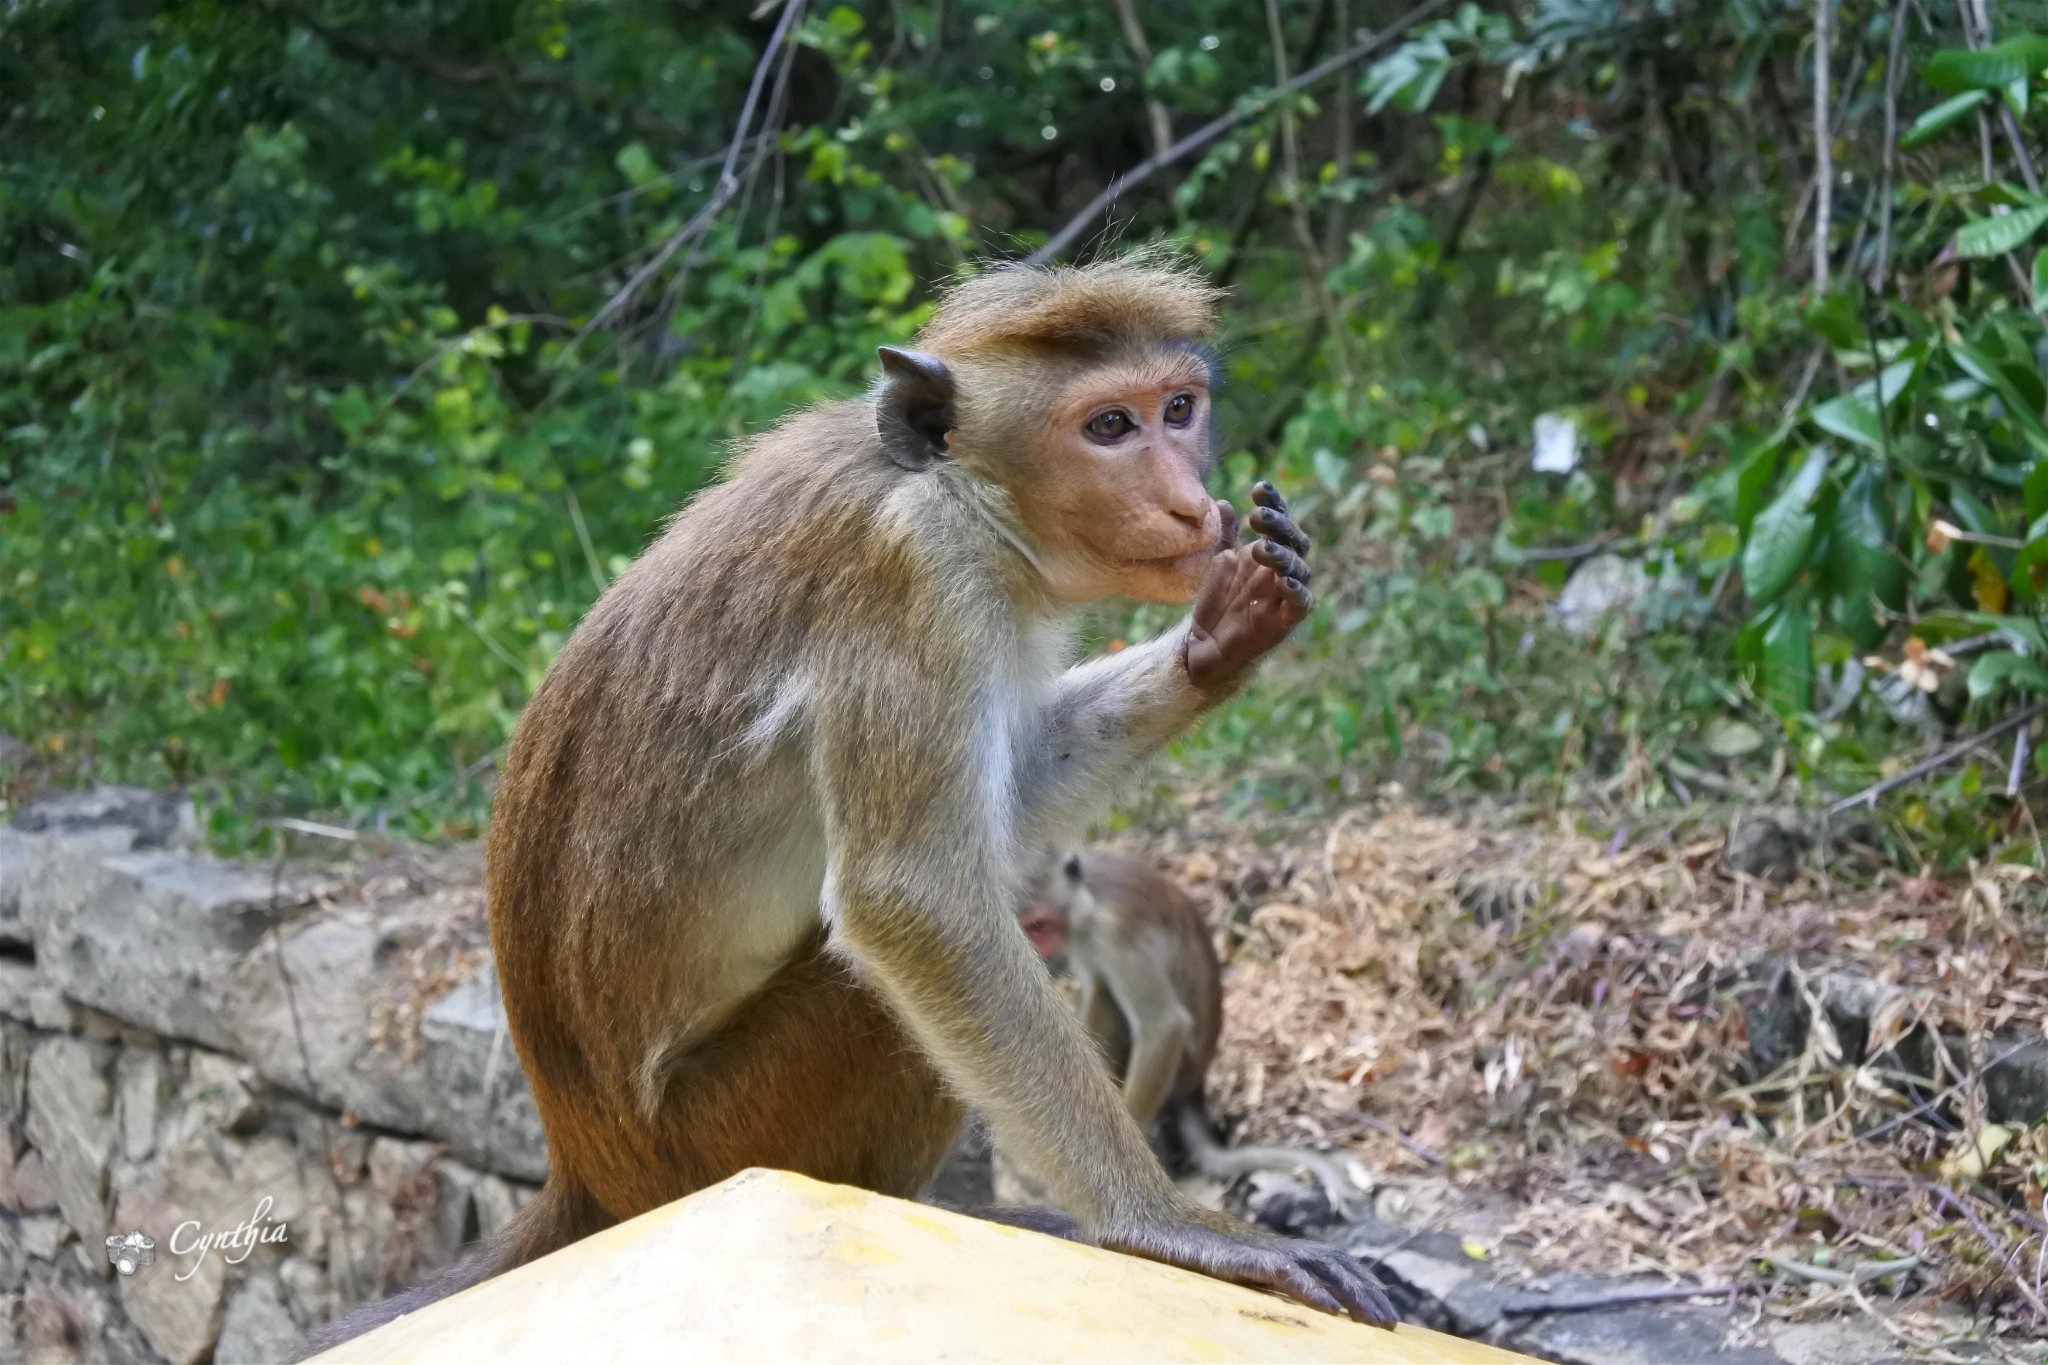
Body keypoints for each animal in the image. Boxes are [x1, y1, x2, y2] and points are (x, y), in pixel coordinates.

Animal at [1015, 847, 1368, 1219]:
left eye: (1038, 924)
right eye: (1027, 926)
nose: (1037, 946)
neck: (1085, 900)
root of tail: (1195, 1085)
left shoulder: (1115, 932)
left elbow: (1164, 1025)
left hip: (1182, 1066)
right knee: (1101, 991)